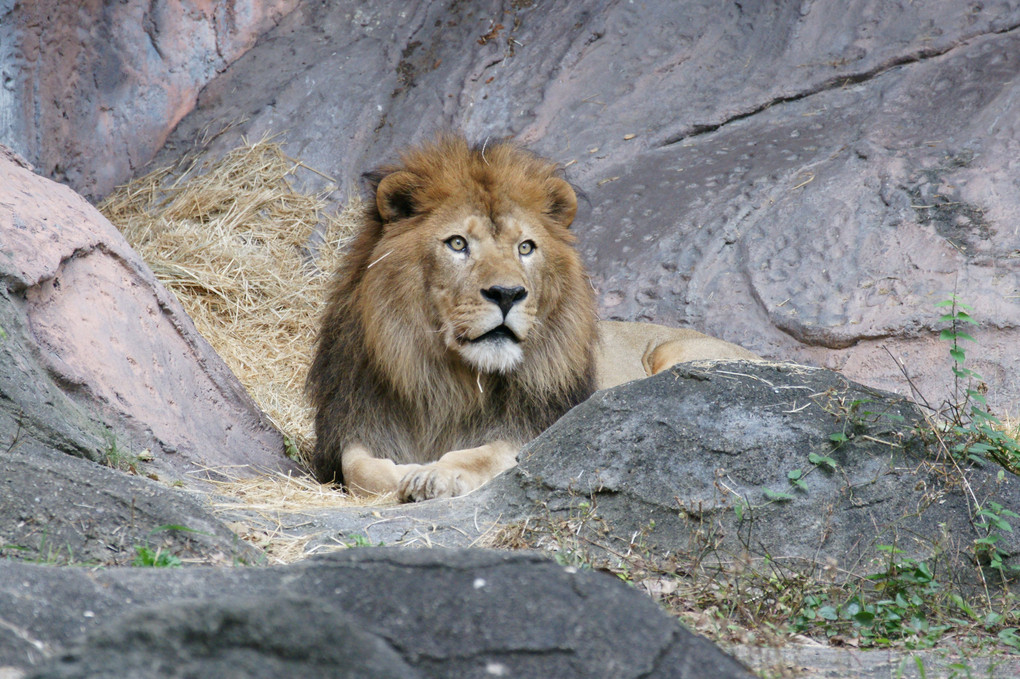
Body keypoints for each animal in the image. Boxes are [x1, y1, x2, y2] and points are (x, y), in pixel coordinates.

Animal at [303, 134, 758, 499]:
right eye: (457, 243)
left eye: (525, 247)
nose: (507, 294)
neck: (452, 383)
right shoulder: (355, 422)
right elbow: (359, 468)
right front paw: (408, 474)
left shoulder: (535, 427)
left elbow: (484, 454)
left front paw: (439, 474)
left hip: (674, 353)